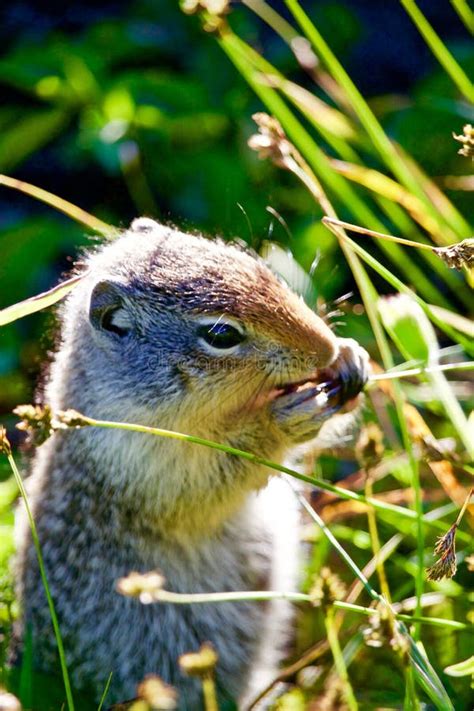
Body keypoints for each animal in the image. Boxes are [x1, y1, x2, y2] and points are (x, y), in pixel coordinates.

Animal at [12, 220, 368, 708]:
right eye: (221, 335)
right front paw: (283, 420)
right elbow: (216, 477)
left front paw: (351, 358)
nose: (325, 349)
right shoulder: (145, 462)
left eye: (260, 267)